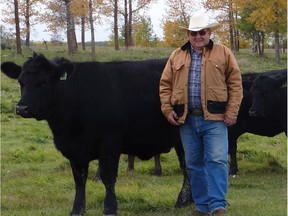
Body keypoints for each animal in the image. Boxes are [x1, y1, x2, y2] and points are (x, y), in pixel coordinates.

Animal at [1, 53, 194, 215]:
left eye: (43, 83)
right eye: (21, 82)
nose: (22, 108)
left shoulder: (110, 144)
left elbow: (108, 177)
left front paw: (110, 208)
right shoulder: (74, 150)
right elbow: (79, 180)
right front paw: (77, 209)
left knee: (187, 167)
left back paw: (182, 201)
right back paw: (187, 201)